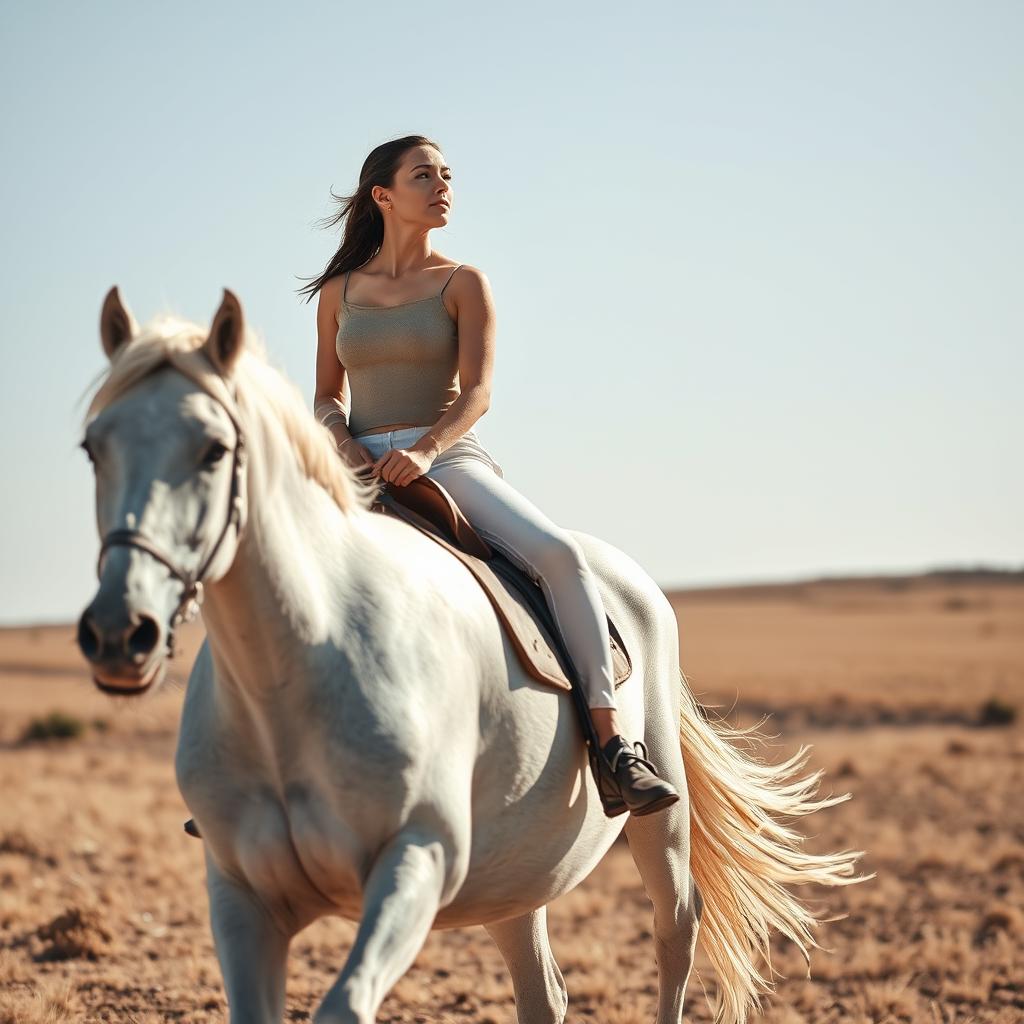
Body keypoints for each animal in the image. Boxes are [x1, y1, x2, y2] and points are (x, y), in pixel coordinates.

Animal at [76, 286, 866, 1024]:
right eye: (93, 448)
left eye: (213, 449)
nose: (119, 631)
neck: (293, 675)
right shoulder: (241, 895)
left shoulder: (415, 861)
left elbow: (345, 1003)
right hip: (518, 875)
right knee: (543, 992)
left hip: (658, 826)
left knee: (676, 931)